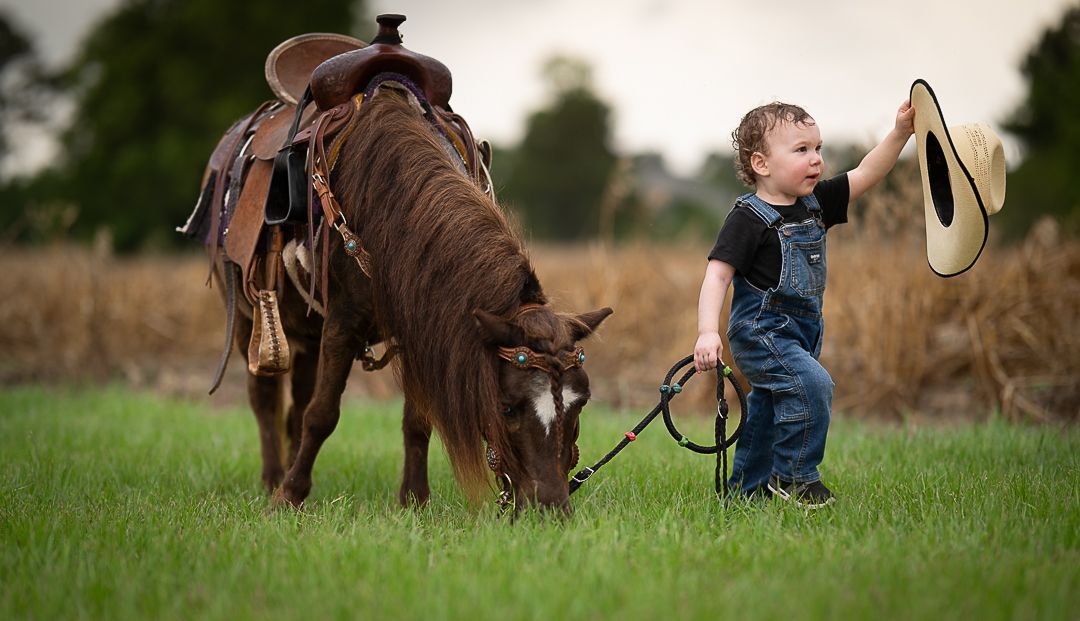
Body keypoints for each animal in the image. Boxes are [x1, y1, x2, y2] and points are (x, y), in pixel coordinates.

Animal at [195, 63, 612, 515]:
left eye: (581, 402)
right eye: (508, 406)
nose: (551, 507)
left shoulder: (417, 329)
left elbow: (416, 420)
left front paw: (414, 500)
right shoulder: (343, 322)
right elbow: (322, 414)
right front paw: (288, 497)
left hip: (306, 332)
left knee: (296, 400)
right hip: (249, 318)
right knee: (265, 396)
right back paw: (274, 477)